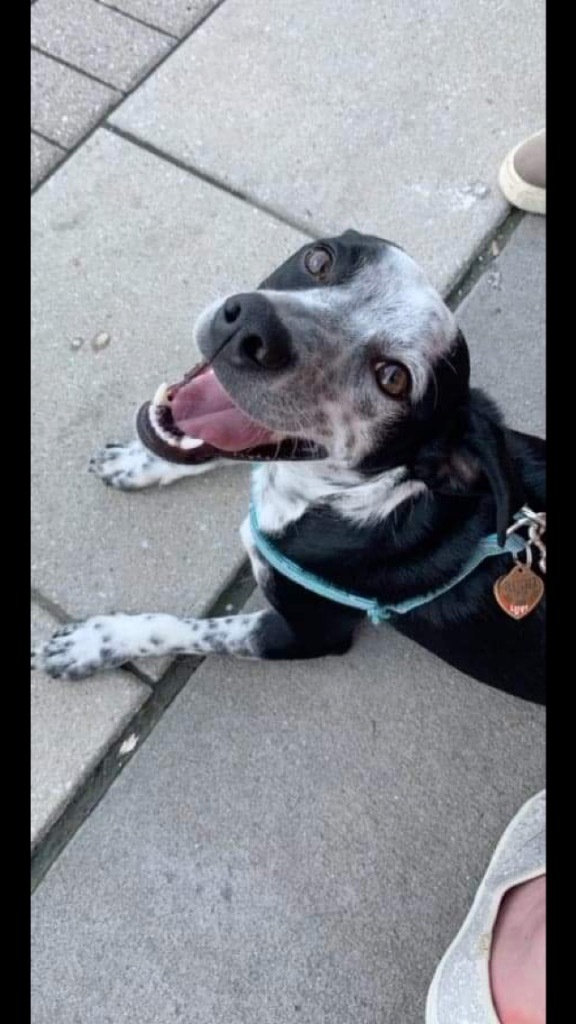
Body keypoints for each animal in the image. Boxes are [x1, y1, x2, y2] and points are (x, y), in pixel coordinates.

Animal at [33, 229, 545, 704]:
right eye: (318, 259)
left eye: (393, 378)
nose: (248, 326)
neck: (351, 497)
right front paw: (140, 461)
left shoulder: (306, 633)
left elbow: (186, 628)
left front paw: (94, 643)